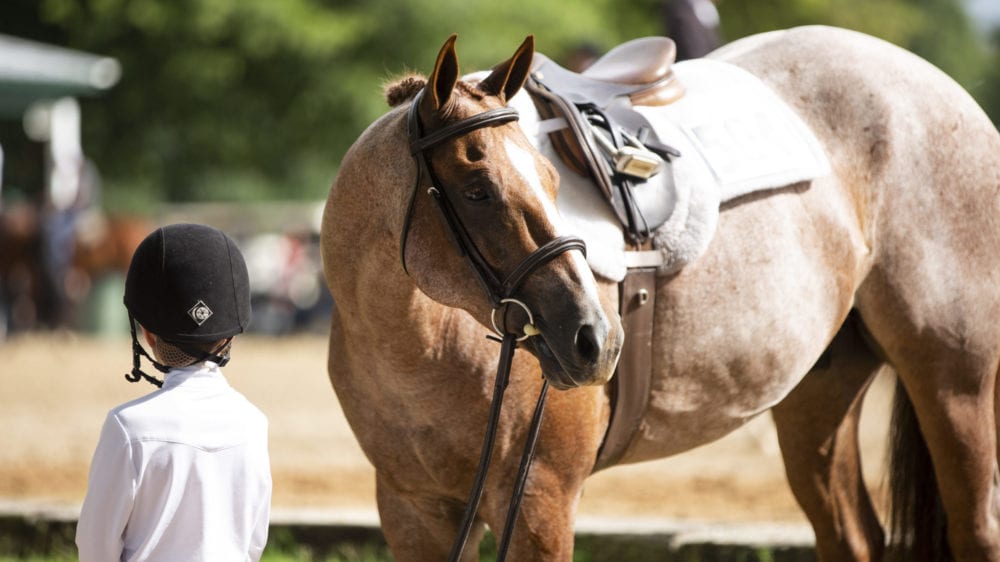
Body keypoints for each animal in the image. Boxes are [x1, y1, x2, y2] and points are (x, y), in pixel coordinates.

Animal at [322, 26, 1000, 560]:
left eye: (550, 179)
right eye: (476, 190)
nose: (595, 338)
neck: (418, 346)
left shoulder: (539, 500)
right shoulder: (415, 512)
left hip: (955, 380)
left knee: (975, 528)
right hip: (819, 396)